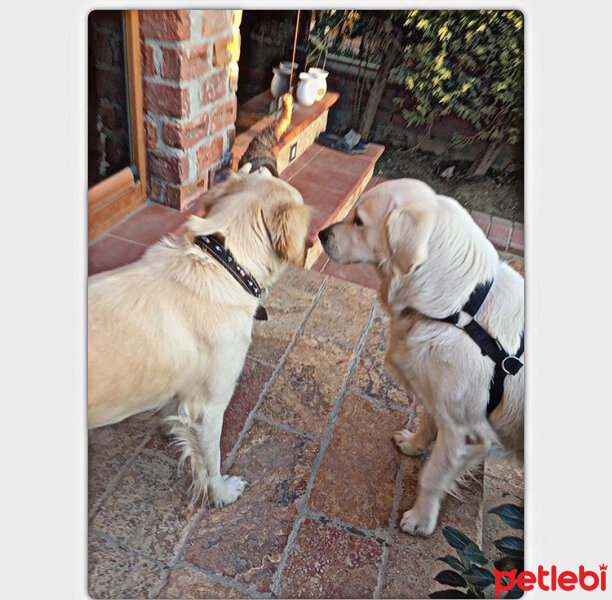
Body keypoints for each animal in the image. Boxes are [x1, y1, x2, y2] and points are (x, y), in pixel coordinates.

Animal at [318, 177, 524, 536]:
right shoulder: (438, 394)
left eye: (358, 221)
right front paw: (414, 443)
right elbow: (428, 421)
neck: (461, 311)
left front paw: (421, 519)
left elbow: (433, 475)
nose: (321, 235)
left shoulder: (466, 432)